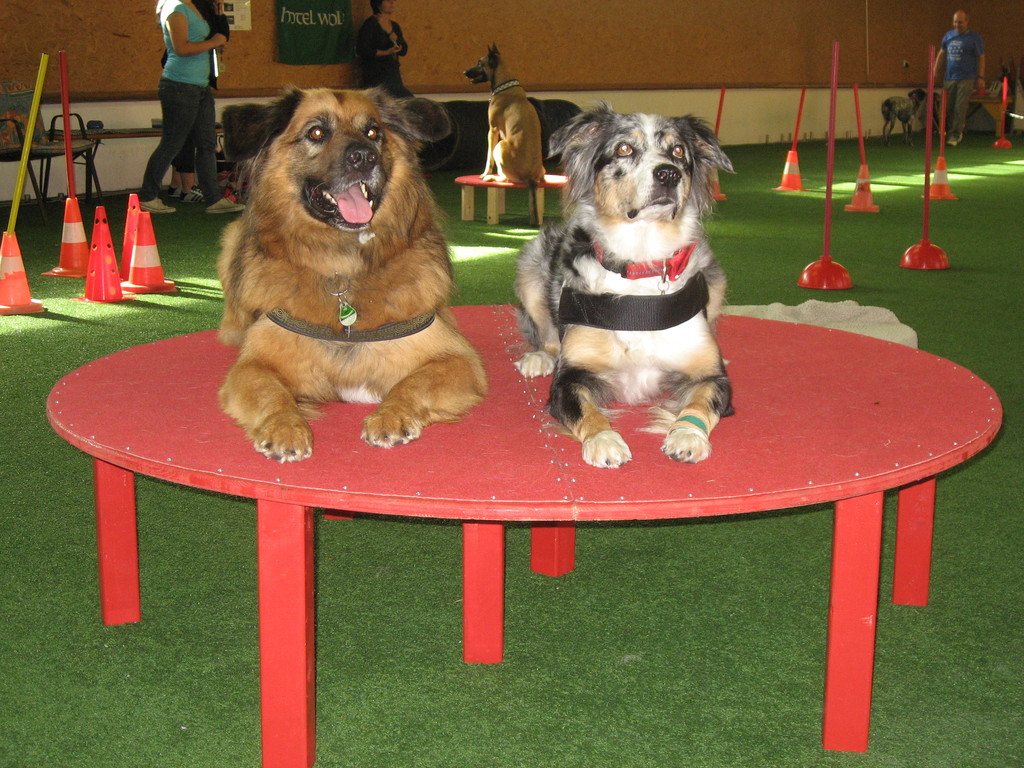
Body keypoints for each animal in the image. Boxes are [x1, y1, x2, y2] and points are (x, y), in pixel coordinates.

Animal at [217, 87, 487, 460]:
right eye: (317, 132)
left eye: (373, 133)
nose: (364, 157)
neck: (343, 271)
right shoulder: (253, 364)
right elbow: (270, 391)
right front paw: (284, 427)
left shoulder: (458, 358)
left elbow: (413, 382)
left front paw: (391, 415)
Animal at [462, 44, 544, 224]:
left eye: (480, 63)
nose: (464, 72)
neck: (505, 83)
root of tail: (530, 177)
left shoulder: (492, 130)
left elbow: (488, 158)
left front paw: (485, 173)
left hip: (500, 145)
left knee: (506, 179)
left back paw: (492, 178)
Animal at [516, 103, 733, 468]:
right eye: (623, 149)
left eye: (678, 152)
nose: (668, 174)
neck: (641, 264)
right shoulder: (570, 377)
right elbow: (585, 408)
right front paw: (604, 440)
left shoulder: (709, 375)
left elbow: (702, 400)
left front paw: (687, 435)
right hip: (530, 268)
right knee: (545, 335)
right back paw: (538, 358)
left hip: (716, 281)